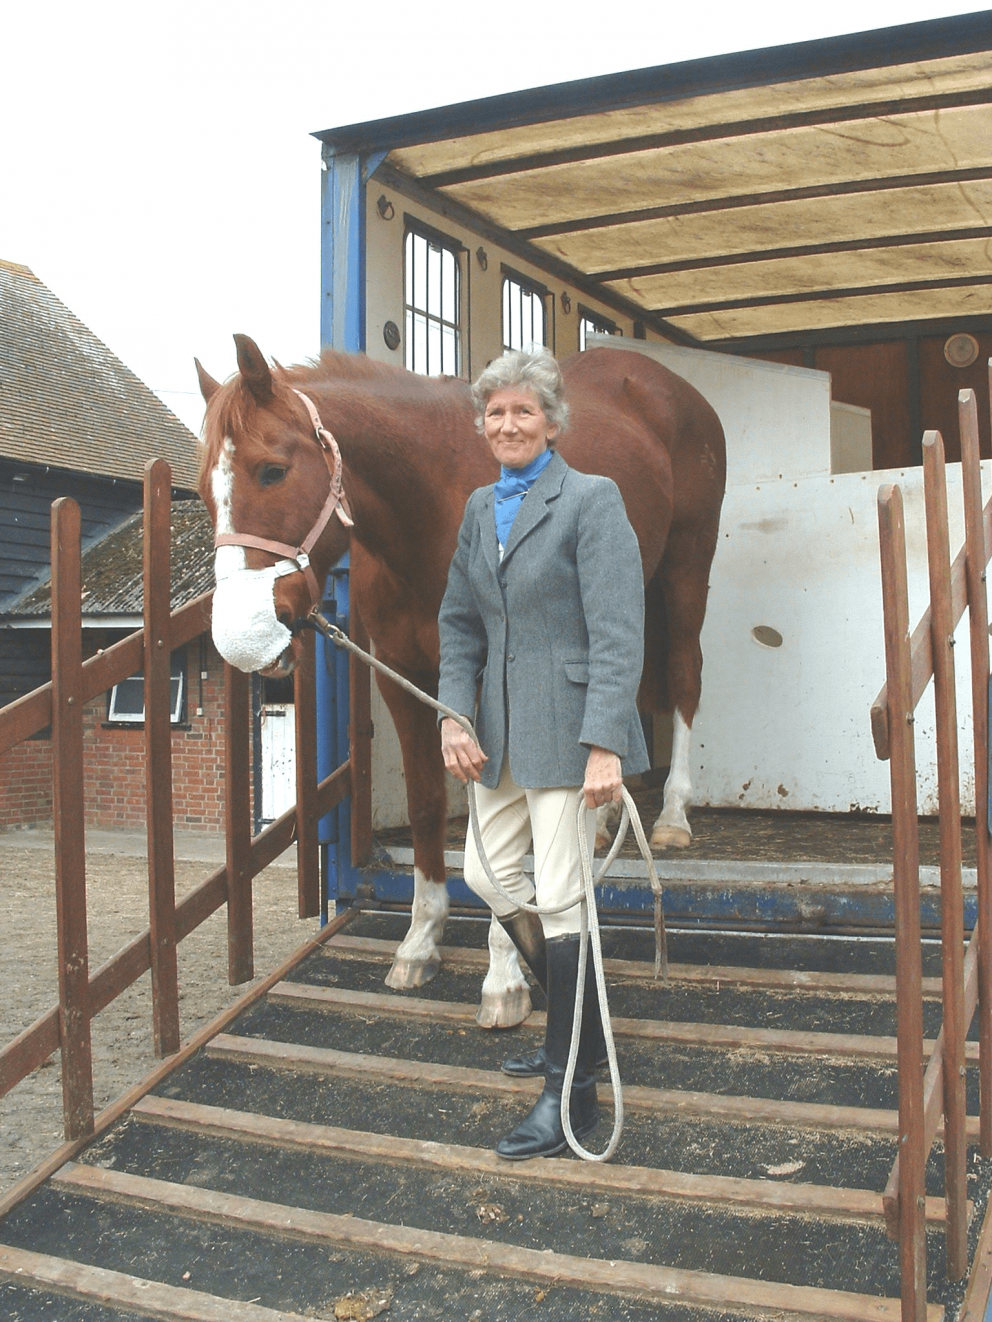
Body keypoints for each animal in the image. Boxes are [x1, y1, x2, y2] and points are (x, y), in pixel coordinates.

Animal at [196, 335, 725, 1027]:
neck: (427, 504)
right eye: (203, 491)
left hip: (686, 566)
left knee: (685, 674)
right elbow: (427, 803)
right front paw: (421, 940)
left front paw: (504, 975)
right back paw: (608, 817)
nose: (241, 637)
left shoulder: (488, 692)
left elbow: (501, 837)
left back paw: (673, 815)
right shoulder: (405, 679)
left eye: (271, 471)